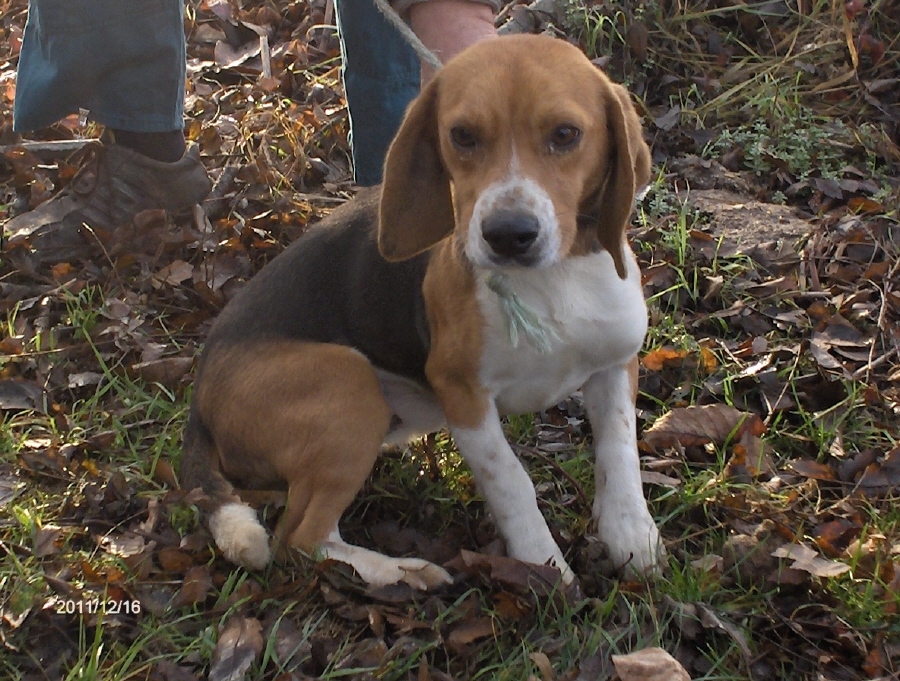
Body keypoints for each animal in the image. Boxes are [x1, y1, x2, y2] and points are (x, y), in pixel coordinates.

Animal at [181, 34, 660, 588]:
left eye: (565, 134)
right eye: (462, 135)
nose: (508, 235)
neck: (551, 281)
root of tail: (200, 398)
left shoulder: (615, 366)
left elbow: (620, 453)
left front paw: (631, 534)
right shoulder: (464, 396)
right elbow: (513, 484)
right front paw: (543, 568)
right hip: (349, 383)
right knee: (298, 541)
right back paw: (403, 572)